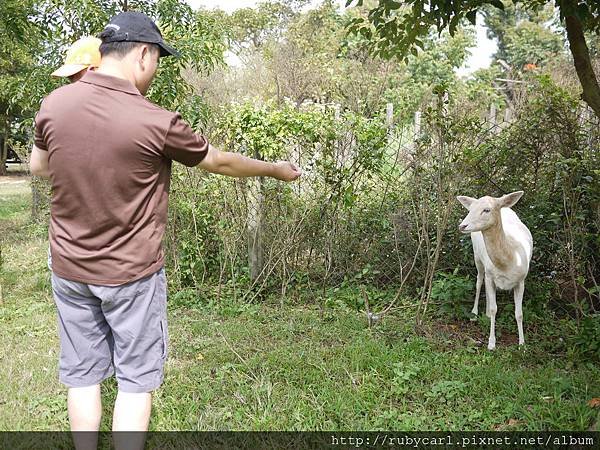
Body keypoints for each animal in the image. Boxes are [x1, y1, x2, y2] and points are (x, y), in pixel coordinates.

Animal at [458, 192, 532, 350]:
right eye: (470, 209)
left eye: (486, 210)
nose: (462, 225)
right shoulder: (491, 276)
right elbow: (494, 309)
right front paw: (491, 344)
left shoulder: (521, 280)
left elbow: (519, 313)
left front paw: (522, 344)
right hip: (477, 257)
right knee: (479, 281)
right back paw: (474, 313)